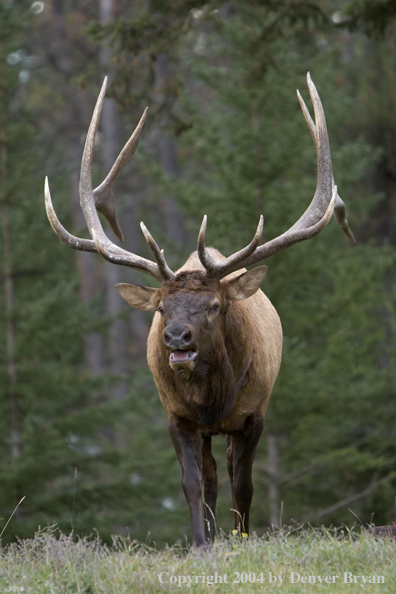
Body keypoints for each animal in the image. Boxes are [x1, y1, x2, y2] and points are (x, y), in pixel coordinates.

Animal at [44, 74, 356, 544]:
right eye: (161, 308)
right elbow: (192, 484)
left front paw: (241, 539)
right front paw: (200, 544)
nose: (177, 337)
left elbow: (244, 485)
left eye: (213, 305)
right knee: (210, 481)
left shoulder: (255, 413)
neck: (213, 400)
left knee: (227, 476)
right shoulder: (177, 417)